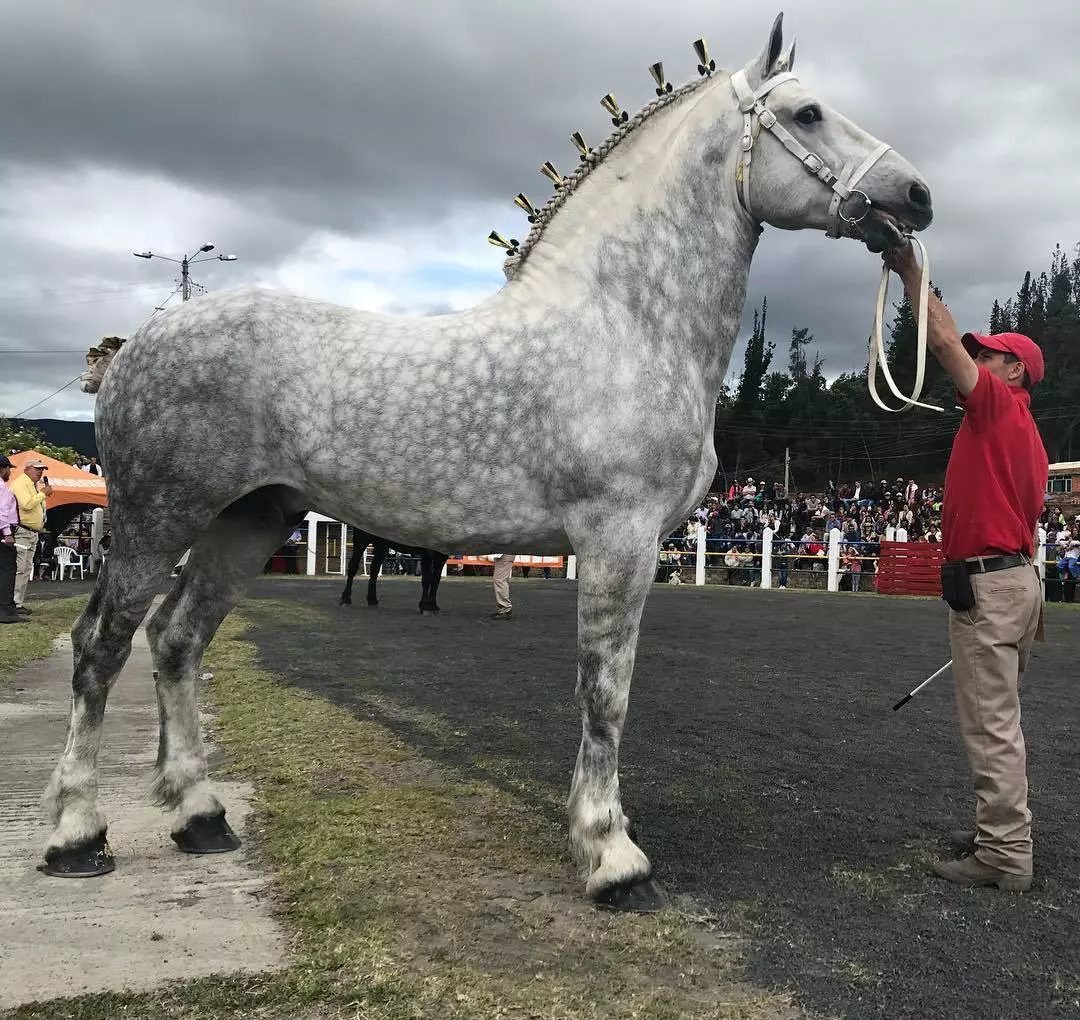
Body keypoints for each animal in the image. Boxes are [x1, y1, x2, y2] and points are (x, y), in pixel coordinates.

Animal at [46, 15, 933, 907]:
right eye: (810, 113)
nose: (918, 195)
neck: (624, 325)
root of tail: (135, 346)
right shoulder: (619, 540)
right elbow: (606, 690)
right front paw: (611, 856)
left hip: (247, 523)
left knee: (177, 641)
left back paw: (201, 816)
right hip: (157, 520)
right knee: (102, 648)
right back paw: (76, 833)